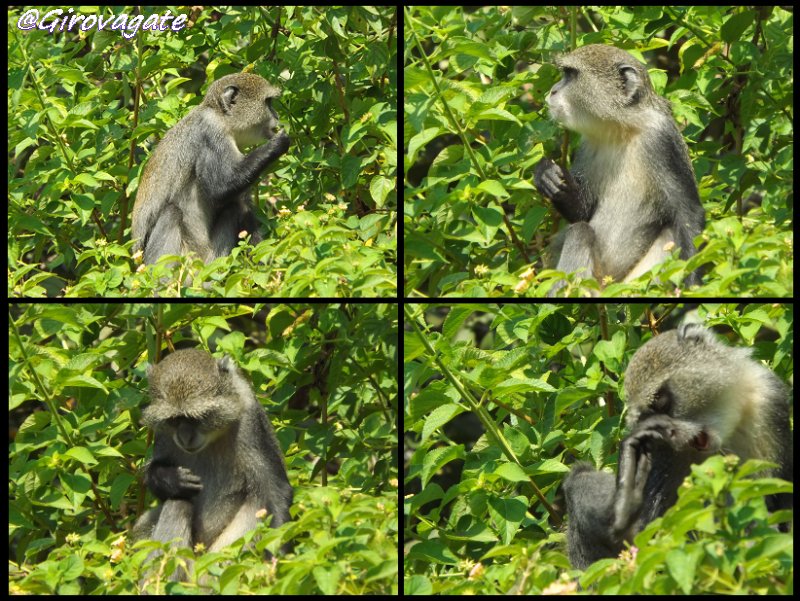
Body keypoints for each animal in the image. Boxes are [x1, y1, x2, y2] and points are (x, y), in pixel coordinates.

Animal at [131, 72, 290, 262]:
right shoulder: (212, 131)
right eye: (268, 103)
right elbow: (218, 188)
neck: (220, 115)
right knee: (171, 213)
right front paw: (278, 143)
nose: (277, 116)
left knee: (235, 207)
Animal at [133, 350, 296, 580]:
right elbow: (159, 476)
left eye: (197, 417)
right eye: (174, 420)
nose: (185, 436)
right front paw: (171, 479)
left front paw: (276, 563)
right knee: (177, 503)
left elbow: (274, 491)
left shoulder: (250, 419)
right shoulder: (163, 434)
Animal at [536, 44, 704, 292]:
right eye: (565, 74)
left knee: (581, 232)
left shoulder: (662, 139)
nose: (553, 90)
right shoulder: (588, 144)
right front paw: (546, 175)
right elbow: (583, 211)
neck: (621, 130)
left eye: (571, 75)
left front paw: (692, 288)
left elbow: (687, 213)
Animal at [564, 324, 792, 568]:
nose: (671, 432)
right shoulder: (662, 451)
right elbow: (653, 533)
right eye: (646, 415)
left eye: (661, 402)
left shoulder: (768, 397)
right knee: (578, 478)